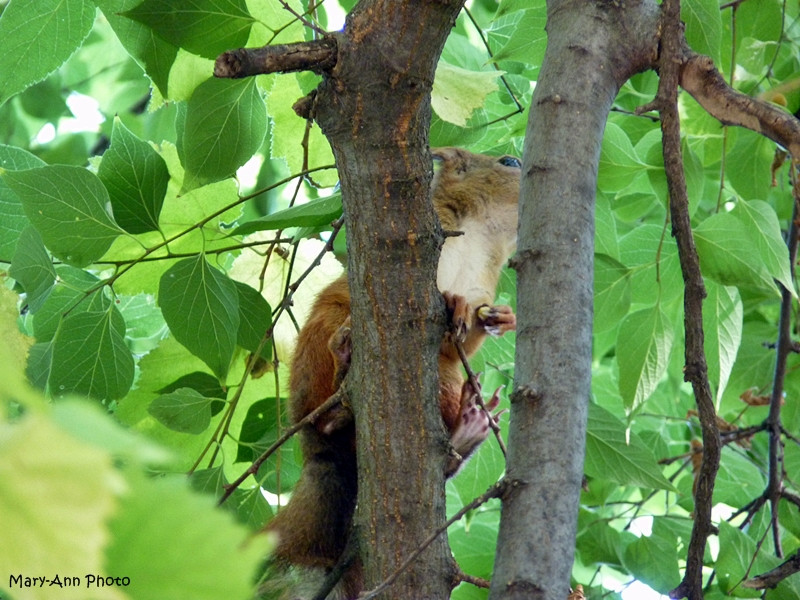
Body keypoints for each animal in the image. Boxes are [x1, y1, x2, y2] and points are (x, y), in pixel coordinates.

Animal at [266, 148, 520, 596]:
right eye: (509, 161)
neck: (478, 234)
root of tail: (319, 450)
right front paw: (451, 300)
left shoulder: (482, 287)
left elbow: (464, 339)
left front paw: (503, 318)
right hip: (320, 344)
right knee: (329, 387)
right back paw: (341, 377)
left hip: (447, 380)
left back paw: (465, 430)